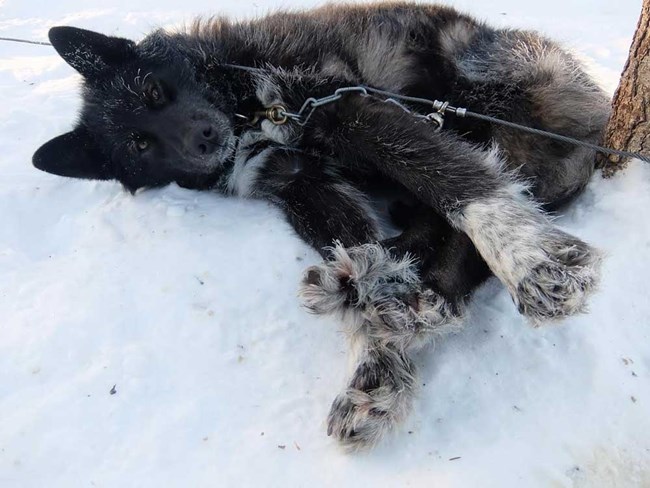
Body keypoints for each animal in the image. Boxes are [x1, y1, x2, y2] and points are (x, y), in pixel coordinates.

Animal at [31, 1, 608, 450]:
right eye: (139, 144)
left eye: (153, 90)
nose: (202, 138)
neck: (244, 110)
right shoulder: (296, 180)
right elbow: (357, 242)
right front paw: (377, 362)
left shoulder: (347, 107)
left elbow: (453, 179)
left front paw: (529, 256)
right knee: (424, 239)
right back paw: (392, 295)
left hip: (483, 83)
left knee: (467, 200)